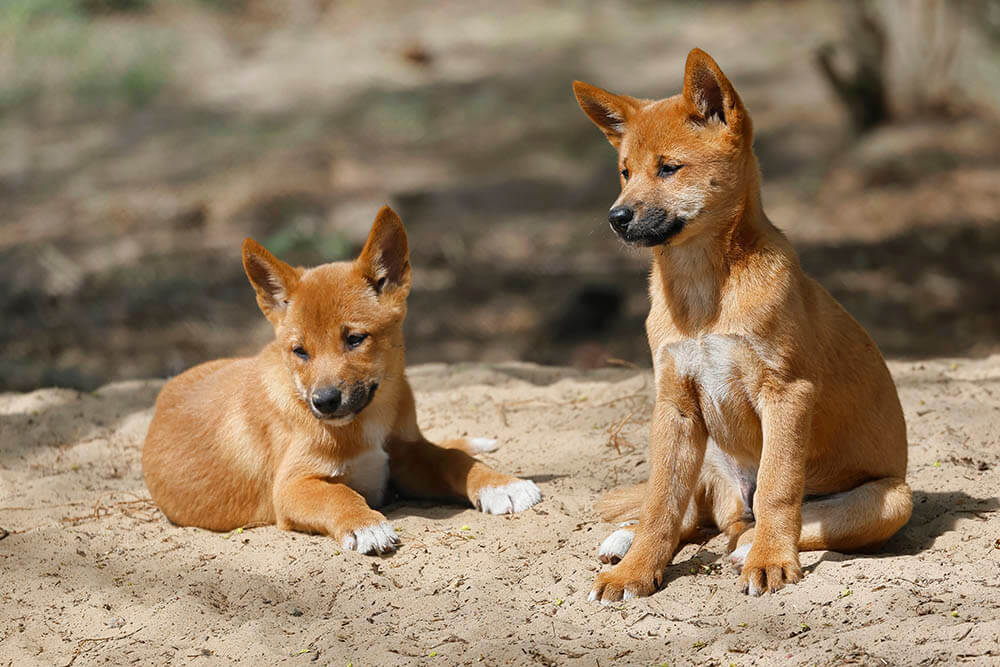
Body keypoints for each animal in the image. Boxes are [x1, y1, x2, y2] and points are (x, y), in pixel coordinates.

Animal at [143, 205, 540, 552]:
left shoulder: (404, 456)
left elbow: (450, 459)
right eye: (300, 351)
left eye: (355, 339)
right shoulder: (292, 486)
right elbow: (338, 494)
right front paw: (365, 525)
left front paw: (500, 484)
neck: (367, 422)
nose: (324, 402)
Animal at [576, 49, 912, 604]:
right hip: (708, 455)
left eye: (669, 168)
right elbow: (661, 503)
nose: (616, 217)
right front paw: (636, 570)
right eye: (624, 172)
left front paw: (771, 560)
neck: (703, 294)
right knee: (694, 517)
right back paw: (626, 542)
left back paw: (751, 544)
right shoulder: (675, 404)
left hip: (892, 498)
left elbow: (779, 489)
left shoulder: (788, 393)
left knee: (771, 520)